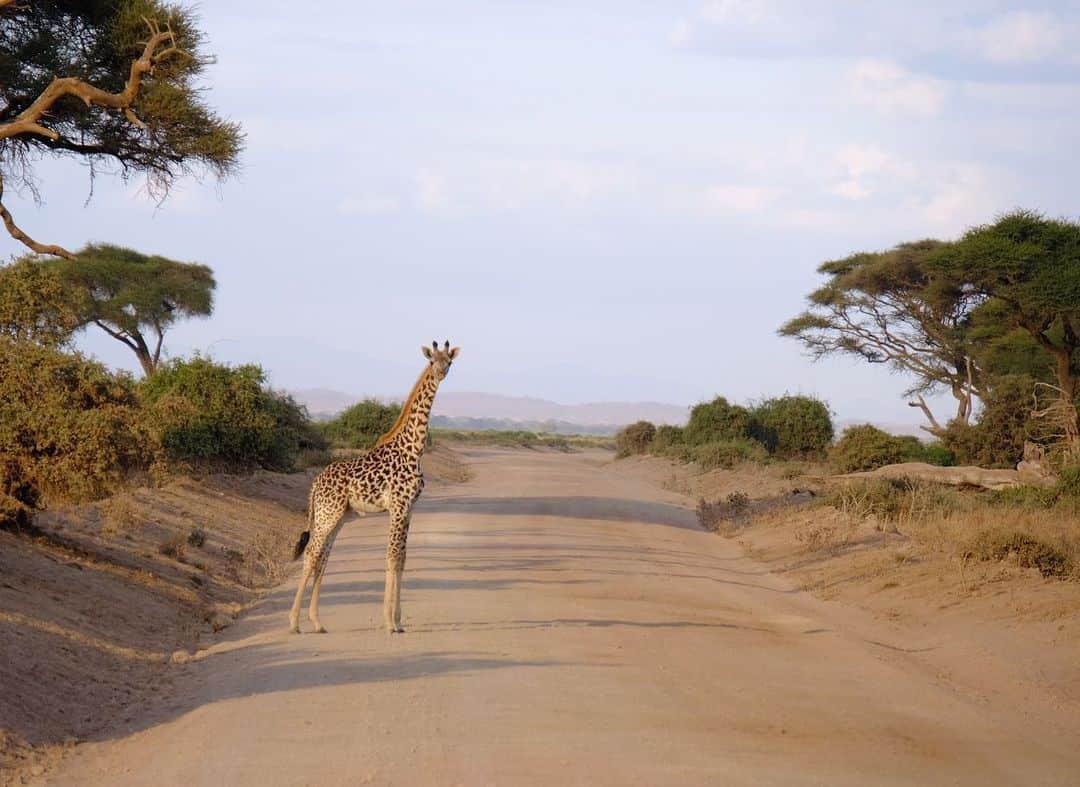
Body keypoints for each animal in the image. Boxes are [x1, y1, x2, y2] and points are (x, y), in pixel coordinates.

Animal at [287, 336, 460, 630]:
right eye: (431, 360)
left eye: (449, 361)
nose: (440, 373)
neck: (413, 448)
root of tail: (315, 483)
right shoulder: (398, 507)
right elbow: (392, 556)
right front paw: (390, 622)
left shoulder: (409, 509)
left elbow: (402, 558)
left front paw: (397, 621)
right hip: (327, 514)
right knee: (311, 553)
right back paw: (294, 623)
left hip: (339, 516)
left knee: (323, 557)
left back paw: (318, 622)